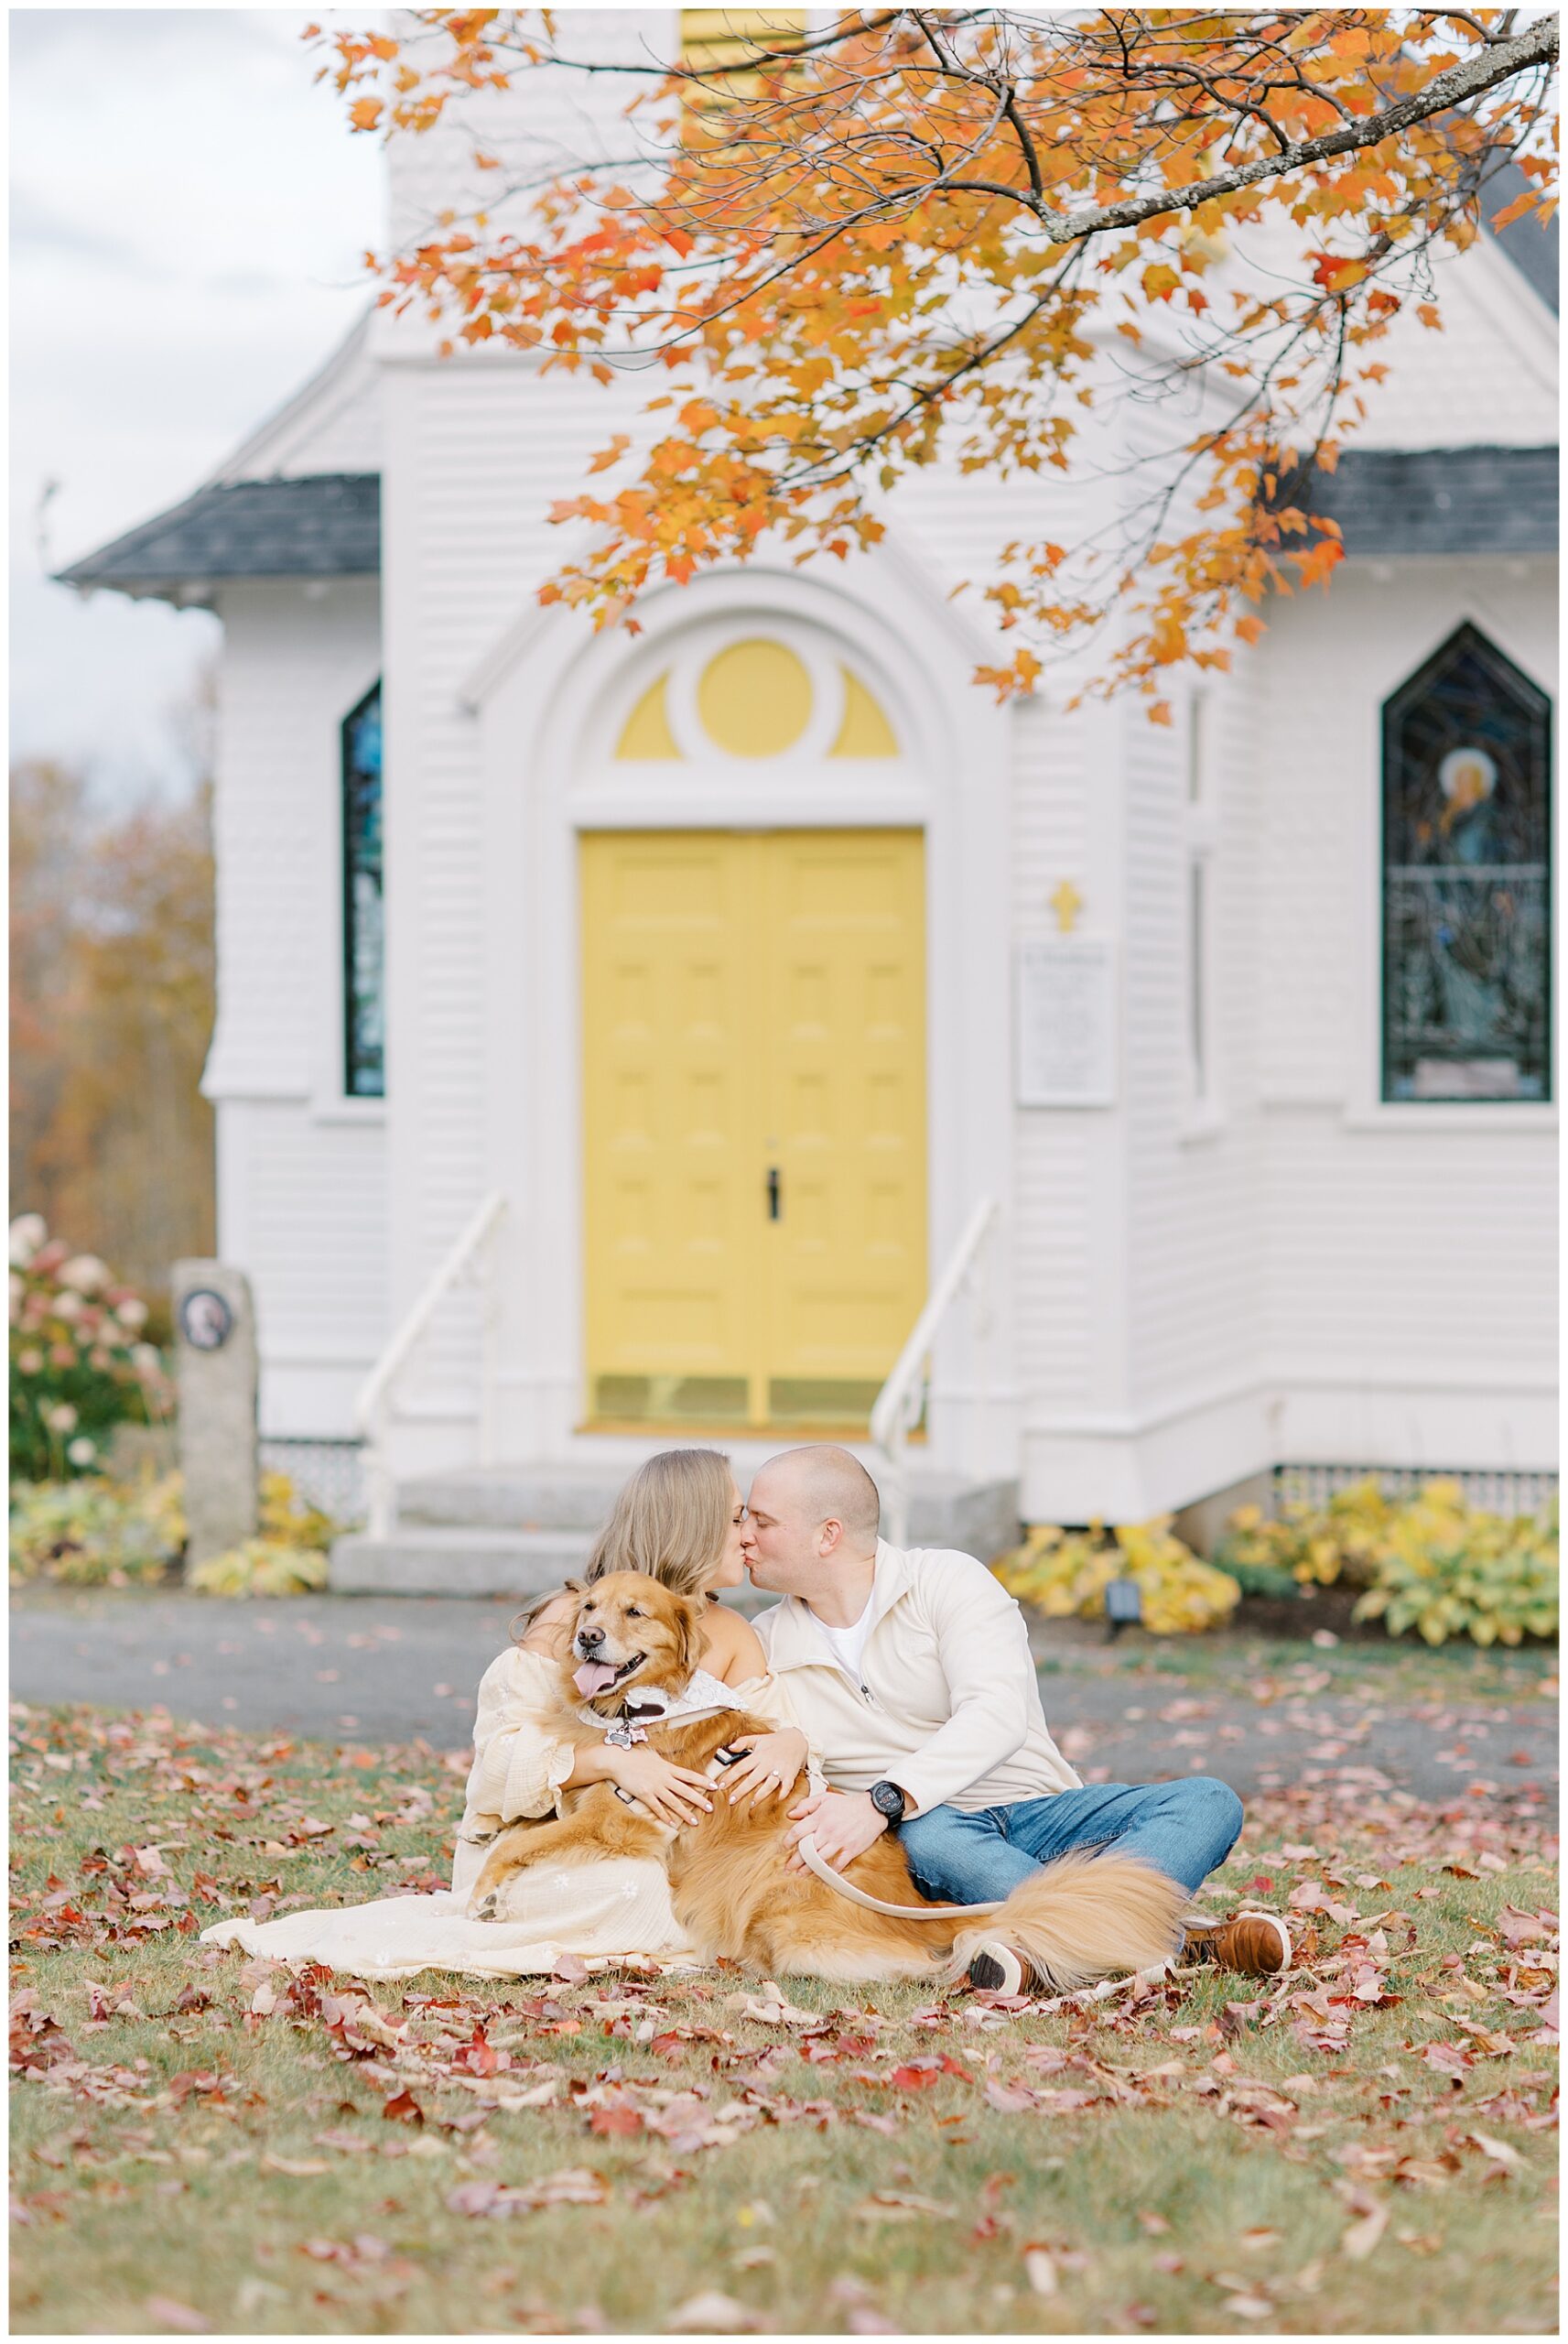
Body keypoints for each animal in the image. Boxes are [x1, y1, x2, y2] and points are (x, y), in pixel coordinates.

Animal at [470, 1566, 1181, 1987]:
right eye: (588, 1607)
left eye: (634, 1612)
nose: (587, 1637)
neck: (640, 1712)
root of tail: (919, 1911)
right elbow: (525, 1823)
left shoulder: (620, 1824)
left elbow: (520, 1844)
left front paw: (483, 1893)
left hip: (793, 1926)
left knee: (928, 1966)